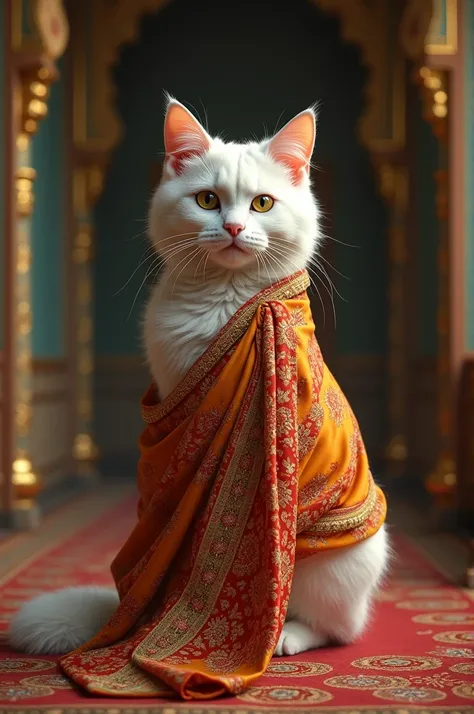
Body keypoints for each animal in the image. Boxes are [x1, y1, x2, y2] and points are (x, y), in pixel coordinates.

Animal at [9, 97, 388, 652]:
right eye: (208, 200)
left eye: (262, 204)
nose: (232, 228)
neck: (223, 300)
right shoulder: (174, 394)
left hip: (335, 571)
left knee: (335, 627)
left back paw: (282, 637)